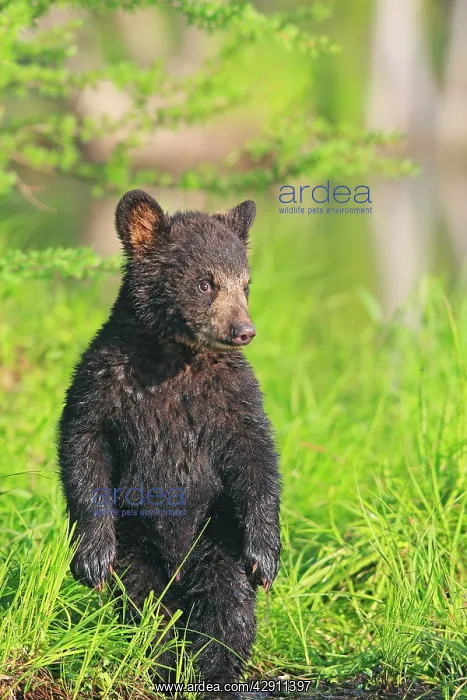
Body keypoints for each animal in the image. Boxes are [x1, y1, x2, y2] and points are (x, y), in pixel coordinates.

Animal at [58, 189, 281, 692]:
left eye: (245, 284)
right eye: (205, 282)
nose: (244, 331)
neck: (174, 360)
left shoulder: (231, 394)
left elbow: (255, 453)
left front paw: (266, 557)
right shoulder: (104, 380)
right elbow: (84, 443)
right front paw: (92, 559)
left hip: (215, 533)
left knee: (227, 604)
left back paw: (212, 668)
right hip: (136, 537)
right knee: (142, 601)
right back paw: (159, 657)